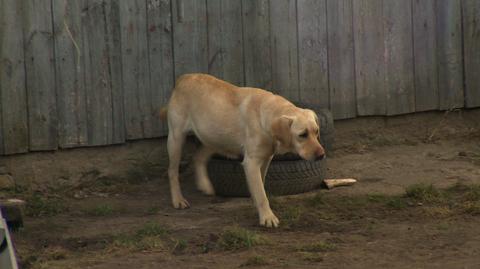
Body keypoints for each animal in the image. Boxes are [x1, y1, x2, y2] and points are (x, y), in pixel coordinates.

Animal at [162, 73, 326, 226]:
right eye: (302, 135)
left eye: (316, 132)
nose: (321, 155)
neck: (265, 115)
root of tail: (183, 77)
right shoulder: (251, 163)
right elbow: (261, 194)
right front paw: (267, 217)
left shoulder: (266, 159)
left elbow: (261, 185)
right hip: (176, 139)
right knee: (172, 171)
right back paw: (178, 200)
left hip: (216, 138)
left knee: (198, 157)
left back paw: (205, 185)